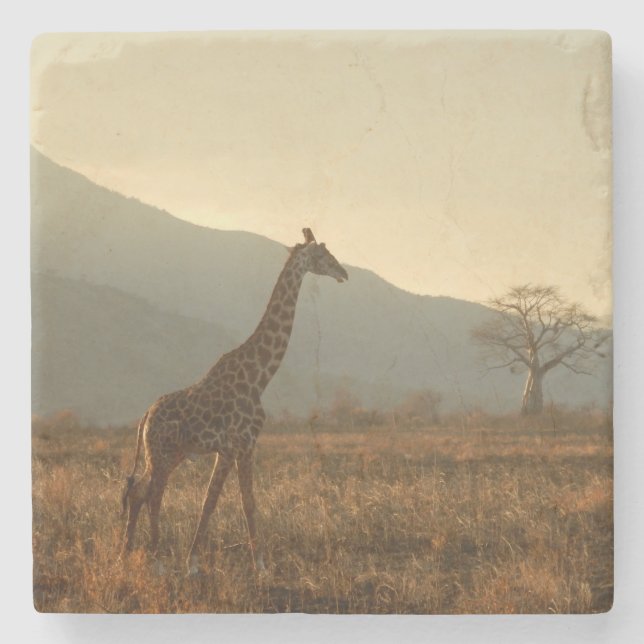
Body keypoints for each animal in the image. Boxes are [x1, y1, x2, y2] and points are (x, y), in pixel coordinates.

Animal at [121, 228, 348, 575]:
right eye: (323, 255)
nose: (343, 272)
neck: (259, 376)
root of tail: (145, 415)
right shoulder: (235, 445)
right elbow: (214, 502)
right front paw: (195, 564)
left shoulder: (242, 446)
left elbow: (245, 502)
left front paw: (259, 563)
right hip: (161, 453)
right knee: (153, 493)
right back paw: (155, 559)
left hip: (167, 454)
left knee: (138, 491)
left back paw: (126, 555)